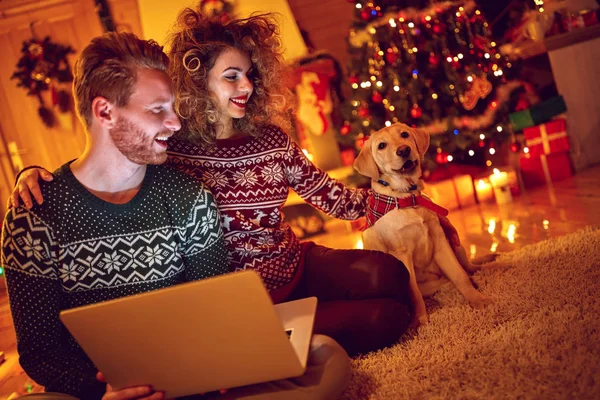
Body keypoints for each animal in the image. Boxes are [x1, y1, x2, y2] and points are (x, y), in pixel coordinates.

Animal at [356, 123, 502, 326]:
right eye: (382, 146)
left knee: (469, 268)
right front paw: (421, 321)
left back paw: (493, 267)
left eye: (404, 134)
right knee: (447, 281)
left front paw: (477, 300)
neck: (409, 198)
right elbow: (415, 293)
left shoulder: (440, 240)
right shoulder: (402, 255)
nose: (404, 150)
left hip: (455, 242)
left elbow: (460, 275)